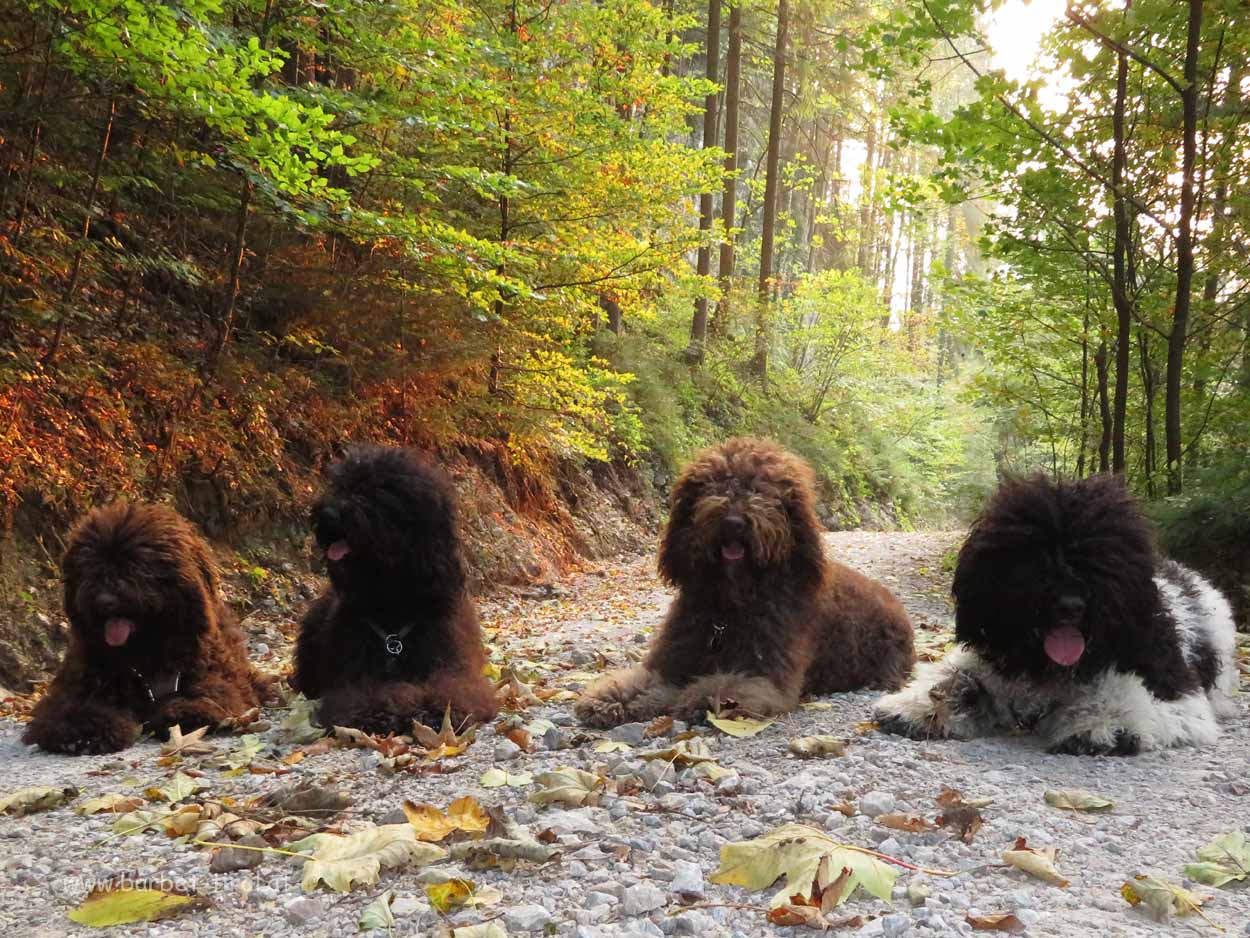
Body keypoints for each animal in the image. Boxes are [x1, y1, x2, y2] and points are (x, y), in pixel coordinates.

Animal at [23, 507, 271, 755]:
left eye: (136, 566)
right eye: (91, 566)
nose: (105, 600)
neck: (144, 656)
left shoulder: (217, 676)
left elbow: (215, 693)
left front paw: (187, 712)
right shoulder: (76, 687)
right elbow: (70, 709)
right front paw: (84, 732)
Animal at [291, 445, 497, 740]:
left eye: (378, 492)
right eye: (340, 485)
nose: (327, 514)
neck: (392, 602)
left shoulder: (455, 669)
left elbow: (450, 691)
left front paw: (431, 709)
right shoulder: (353, 679)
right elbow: (370, 696)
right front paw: (385, 711)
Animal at [577, 437, 920, 730]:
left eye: (761, 489)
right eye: (713, 483)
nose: (733, 522)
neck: (729, 607)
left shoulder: (766, 676)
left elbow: (726, 687)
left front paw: (701, 700)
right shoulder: (671, 663)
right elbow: (642, 683)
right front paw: (611, 699)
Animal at [875, 477, 1235, 755]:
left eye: (1103, 563)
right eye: (1032, 561)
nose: (1070, 605)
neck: (1049, 668)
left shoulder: (1178, 694)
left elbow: (1123, 697)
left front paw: (1102, 725)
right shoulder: (991, 664)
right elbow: (954, 678)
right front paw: (918, 705)